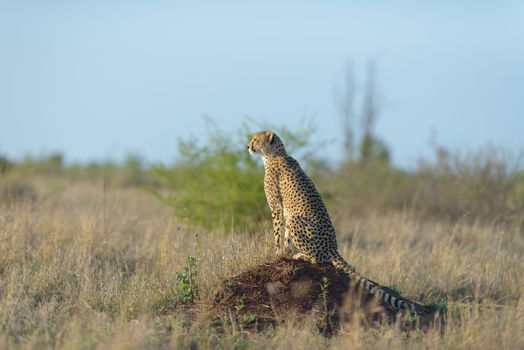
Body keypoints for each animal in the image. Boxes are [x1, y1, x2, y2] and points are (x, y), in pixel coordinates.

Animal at [249, 131, 422, 314]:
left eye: (256, 140)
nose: (248, 146)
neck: (275, 154)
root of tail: (333, 248)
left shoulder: (277, 208)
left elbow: (277, 234)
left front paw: (277, 254)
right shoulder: (284, 211)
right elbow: (285, 237)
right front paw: (285, 253)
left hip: (297, 222)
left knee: (318, 260)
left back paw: (302, 255)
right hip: (295, 220)